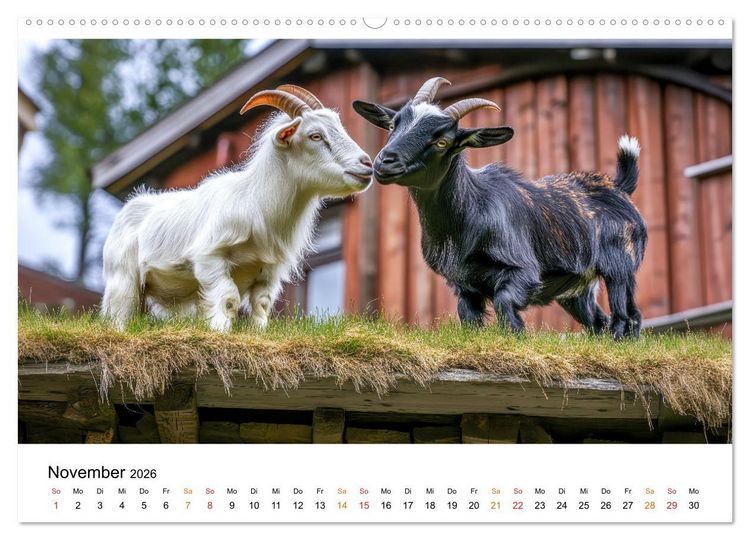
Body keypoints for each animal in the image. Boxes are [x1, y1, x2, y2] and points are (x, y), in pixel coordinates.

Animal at [102, 85, 373, 332]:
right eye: (315, 136)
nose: (367, 164)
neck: (256, 202)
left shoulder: (269, 271)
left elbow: (262, 304)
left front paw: (257, 331)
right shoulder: (209, 257)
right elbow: (228, 297)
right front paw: (220, 330)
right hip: (123, 281)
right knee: (121, 312)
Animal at [353, 77, 647, 339]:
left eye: (442, 142)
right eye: (393, 124)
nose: (386, 161)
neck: (470, 213)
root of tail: (619, 186)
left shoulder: (524, 271)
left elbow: (505, 304)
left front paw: (516, 337)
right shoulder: (464, 285)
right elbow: (468, 318)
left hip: (621, 266)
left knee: (628, 316)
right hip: (576, 290)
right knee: (599, 321)